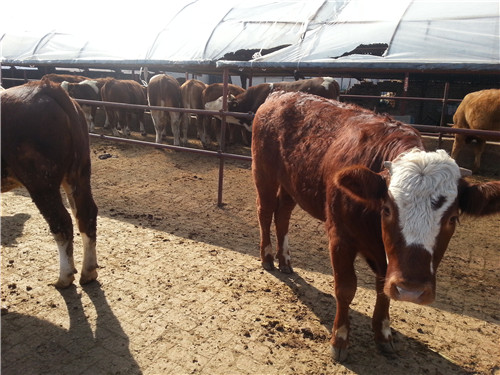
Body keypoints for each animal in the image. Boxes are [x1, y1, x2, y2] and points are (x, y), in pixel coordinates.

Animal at [0, 79, 98, 290]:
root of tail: (47, 88)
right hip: (79, 172)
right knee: (86, 214)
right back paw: (88, 272)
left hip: (41, 181)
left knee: (61, 222)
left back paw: (64, 277)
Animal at [252, 90, 500, 362]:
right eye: (388, 209)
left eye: (452, 218)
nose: (412, 290)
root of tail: (281, 93)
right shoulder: (340, 237)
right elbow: (346, 288)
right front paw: (339, 339)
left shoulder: (387, 259)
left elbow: (383, 289)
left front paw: (383, 333)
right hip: (263, 172)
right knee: (265, 211)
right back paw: (267, 257)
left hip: (291, 184)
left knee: (282, 214)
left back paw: (285, 260)